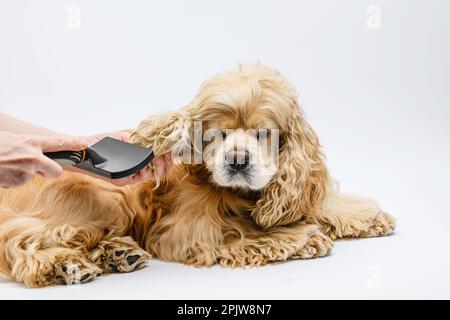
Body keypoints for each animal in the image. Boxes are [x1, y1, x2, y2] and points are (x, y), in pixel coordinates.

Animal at [0, 64, 394, 288]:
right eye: (218, 134)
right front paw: (302, 238)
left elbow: (317, 204)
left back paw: (117, 254)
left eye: (263, 134)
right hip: (105, 198)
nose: (238, 161)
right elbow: (239, 232)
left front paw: (370, 216)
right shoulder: (186, 231)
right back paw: (63, 264)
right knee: (23, 241)